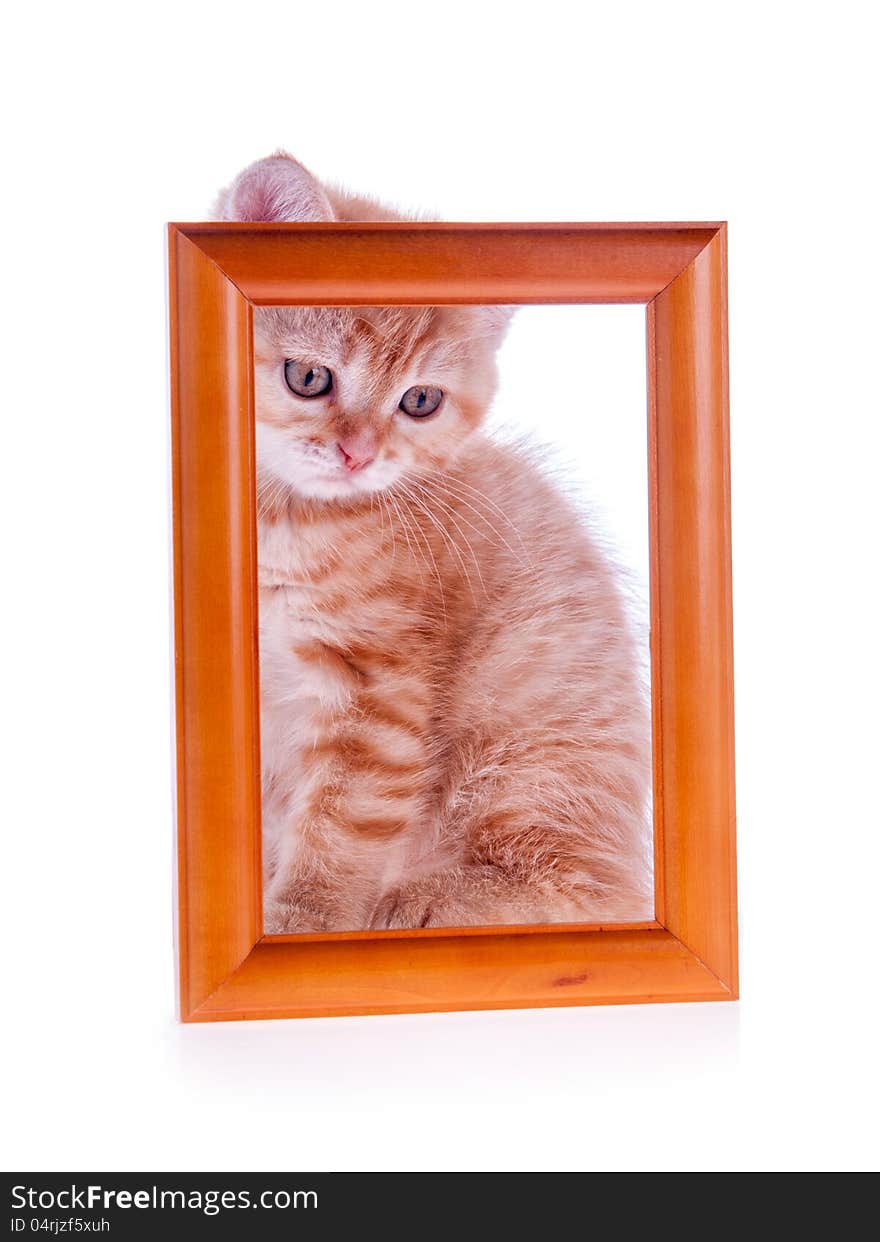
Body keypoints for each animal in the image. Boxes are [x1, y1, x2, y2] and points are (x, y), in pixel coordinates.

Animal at [213, 152, 650, 933]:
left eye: (420, 401)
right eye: (309, 376)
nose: (359, 453)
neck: (285, 520)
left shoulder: (378, 688)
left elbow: (340, 820)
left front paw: (300, 922)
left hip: (526, 740)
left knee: (586, 891)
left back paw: (420, 900)